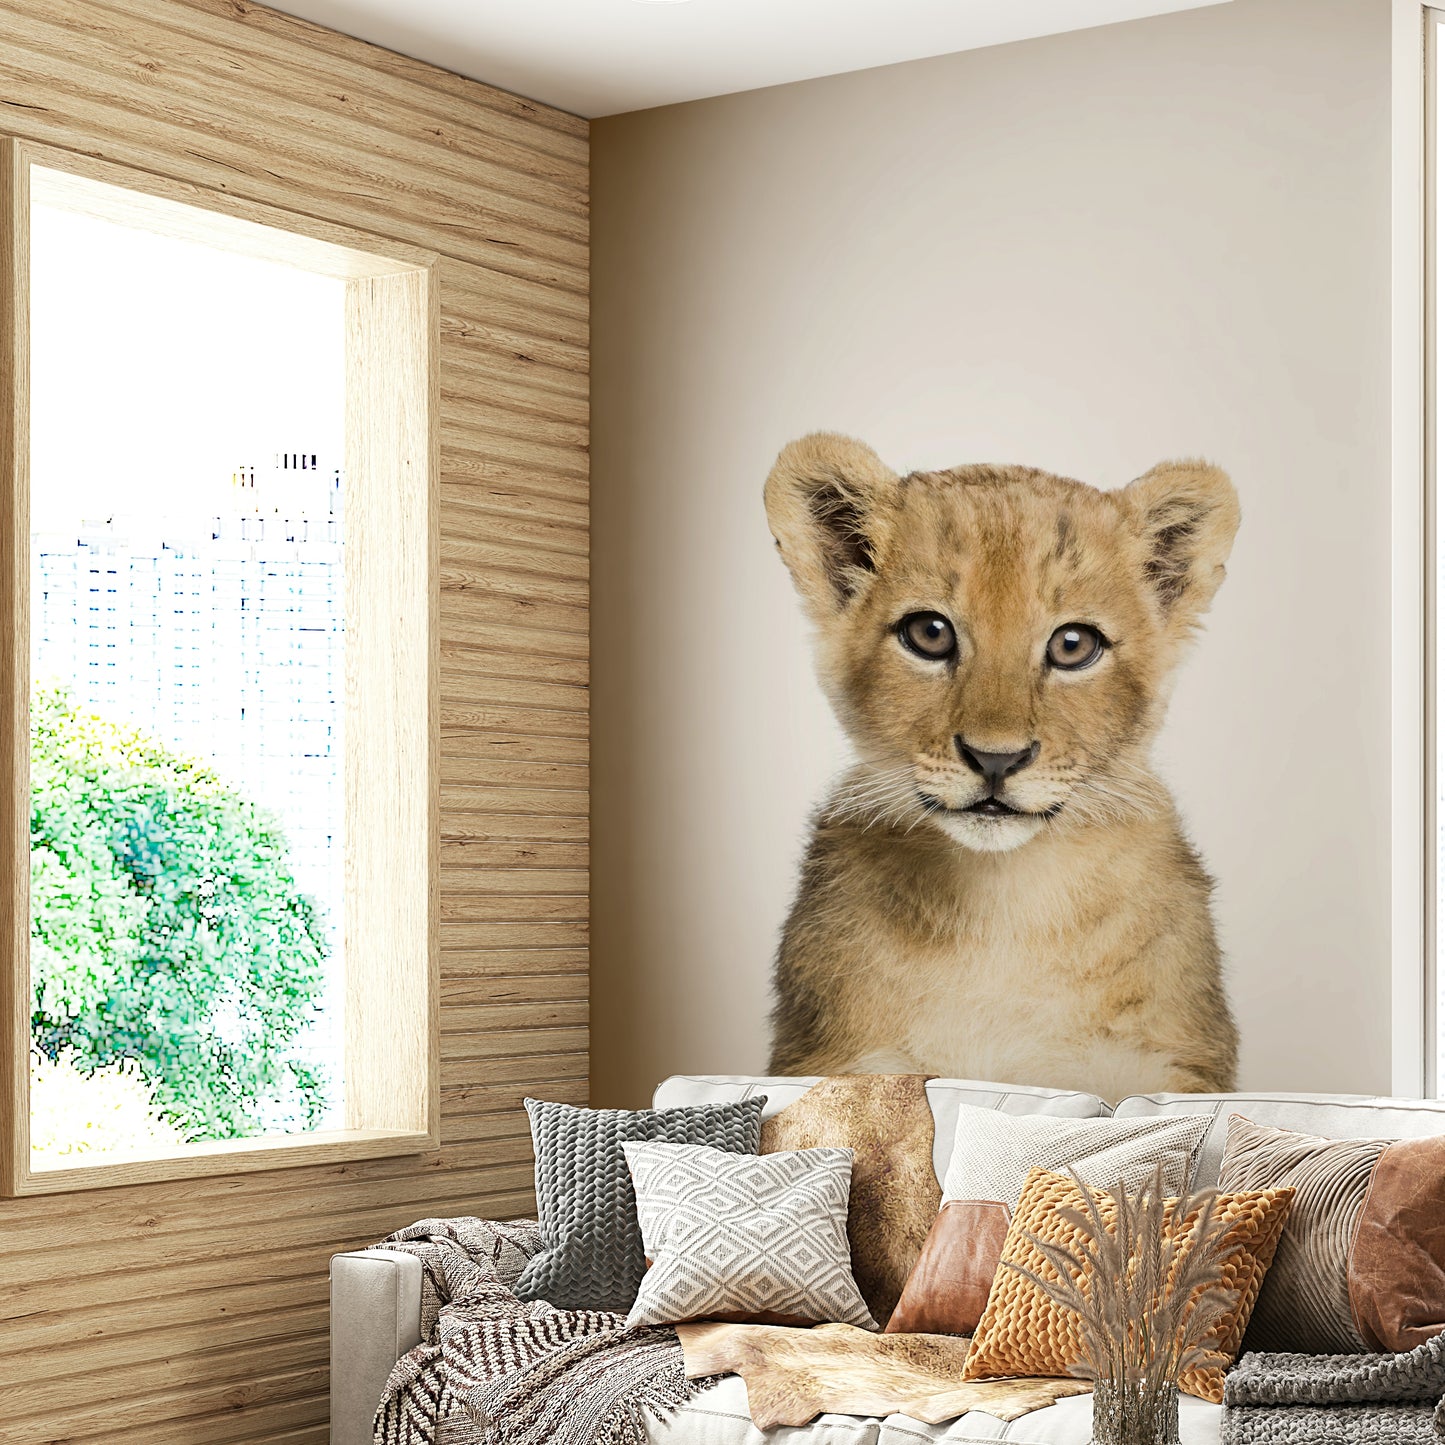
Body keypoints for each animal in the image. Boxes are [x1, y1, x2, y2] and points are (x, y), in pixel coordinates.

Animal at [764, 433, 1240, 1101]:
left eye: (1073, 645)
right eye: (929, 633)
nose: (996, 758)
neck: (1003, 908)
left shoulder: (1171, 1061)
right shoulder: (836, 1054)